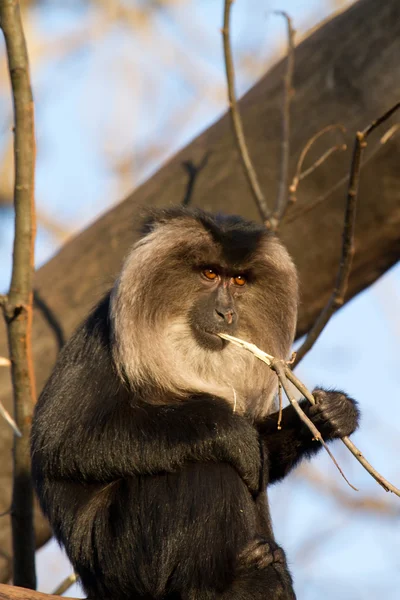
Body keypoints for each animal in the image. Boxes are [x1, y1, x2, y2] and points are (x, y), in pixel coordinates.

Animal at [29, 207, 358, 600]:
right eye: (210, 274)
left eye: (239, 281)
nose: (226, 312)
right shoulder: (103, 339)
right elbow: (63, 442)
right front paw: (231, 432)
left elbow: (265, 457)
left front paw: (327, 414)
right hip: (121, 559)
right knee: (206, 469)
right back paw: (223, 586)